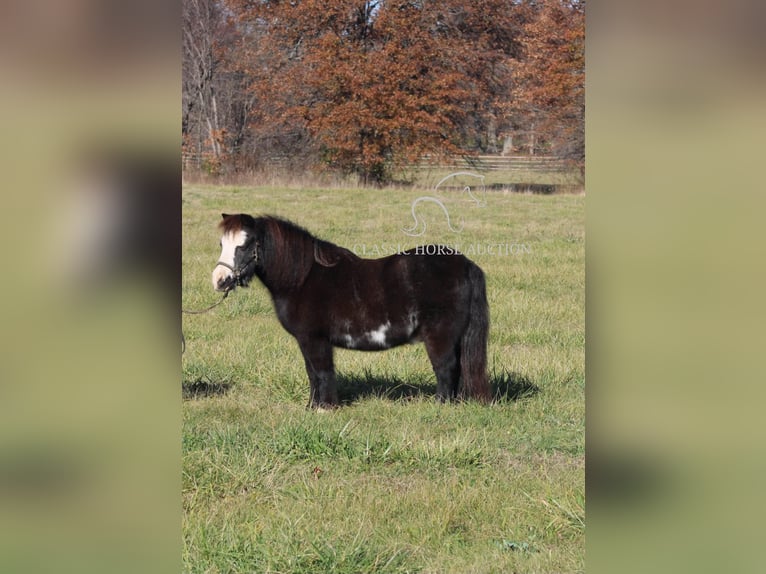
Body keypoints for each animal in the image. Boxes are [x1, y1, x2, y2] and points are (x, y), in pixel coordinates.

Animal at [213, 216, 496, 410]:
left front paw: (325, 408)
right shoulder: (307, 342)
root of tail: (466, 264)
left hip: (440, 336)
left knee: (446, 368)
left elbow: (322, 372)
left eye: (245, 244)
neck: (302, 278)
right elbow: (312, 373)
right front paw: (312, 407)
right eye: (221, 243)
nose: (219, 280)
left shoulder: (314, 340)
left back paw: (440, 406)